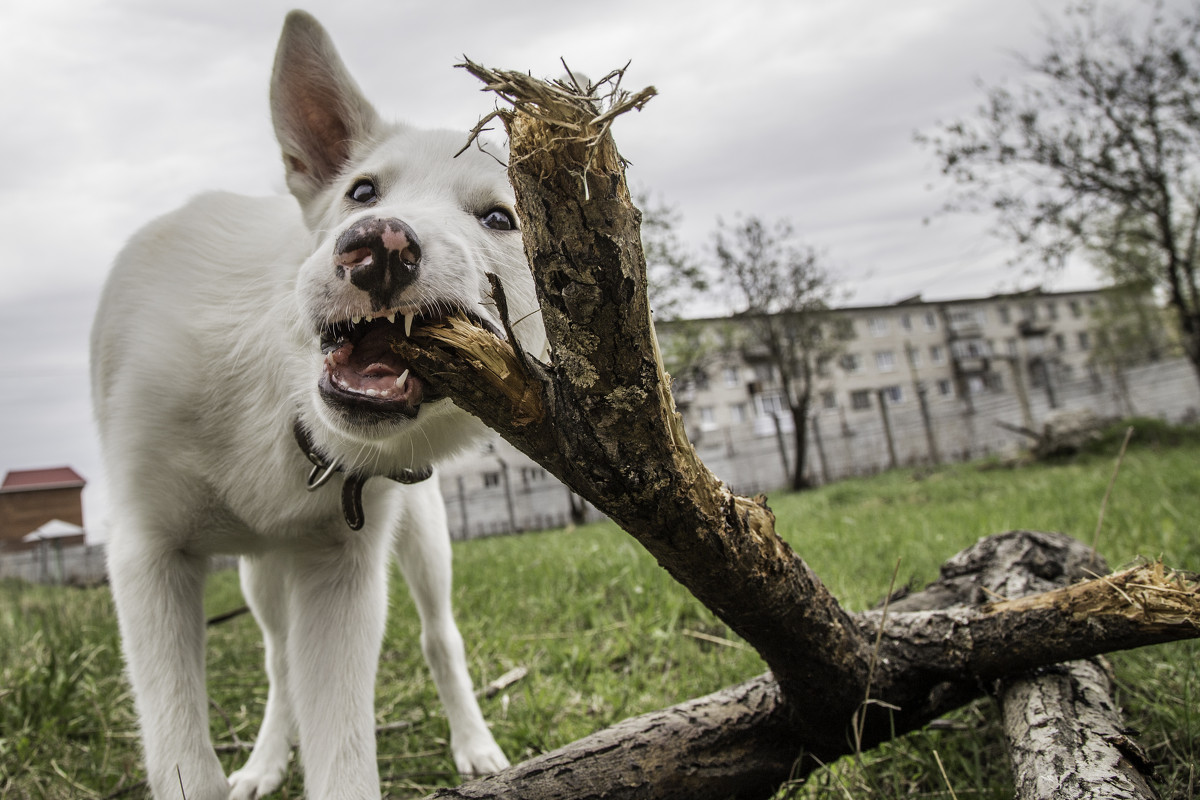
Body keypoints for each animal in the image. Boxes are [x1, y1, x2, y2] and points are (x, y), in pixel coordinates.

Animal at [91, 12, 542, 800]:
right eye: (362, 193)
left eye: (498, 217)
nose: (380, 247)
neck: (286, 412)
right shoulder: (148, 556)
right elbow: (184, 757)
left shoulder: (342, 576)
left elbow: (345, 756)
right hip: (260, 578)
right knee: (278, 664)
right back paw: (266, 761)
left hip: (421, 538)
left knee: (440, 637)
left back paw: (475, 742)